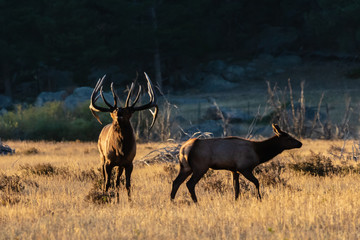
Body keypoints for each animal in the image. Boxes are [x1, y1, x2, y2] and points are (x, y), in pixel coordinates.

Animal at [170, 124, 302, 202]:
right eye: (289, 138)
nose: (300, 143)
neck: (259, 153)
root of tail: (184, 149)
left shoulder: (235, 170)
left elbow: (236, 188)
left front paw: (236, 201)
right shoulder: (244, 168)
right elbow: (256, 182)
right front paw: (259, 198)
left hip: (185, 167)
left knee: (176, 182)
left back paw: (172, 201)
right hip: (200, 167)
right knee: (189, 184)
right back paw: (196, 202)